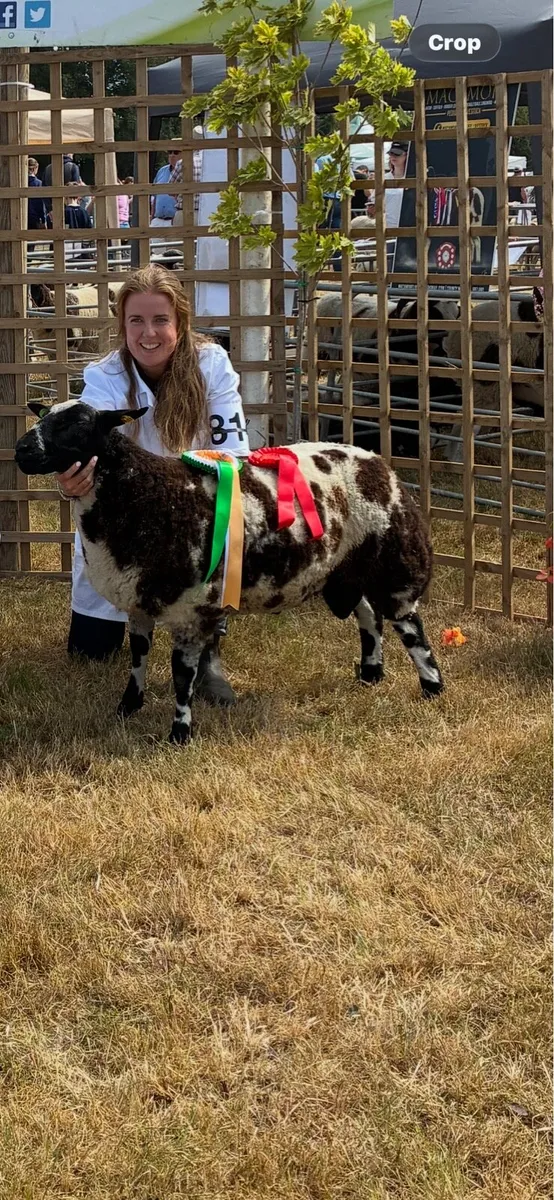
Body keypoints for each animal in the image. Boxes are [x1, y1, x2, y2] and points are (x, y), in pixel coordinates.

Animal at [15, 400, 444, 744]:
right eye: (44, 416)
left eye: (78, 424)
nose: (21, 449)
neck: (143, 495)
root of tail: (377, 460)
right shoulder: (140, 602)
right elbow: (138, 658)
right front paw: (128, 707)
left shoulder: (192, 608)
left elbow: (182, 676)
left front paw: (180, 732)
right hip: (346, 566)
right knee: (370, 616)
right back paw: (371, 673)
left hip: (394, 559)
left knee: (409, 625)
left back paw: (432, 686)